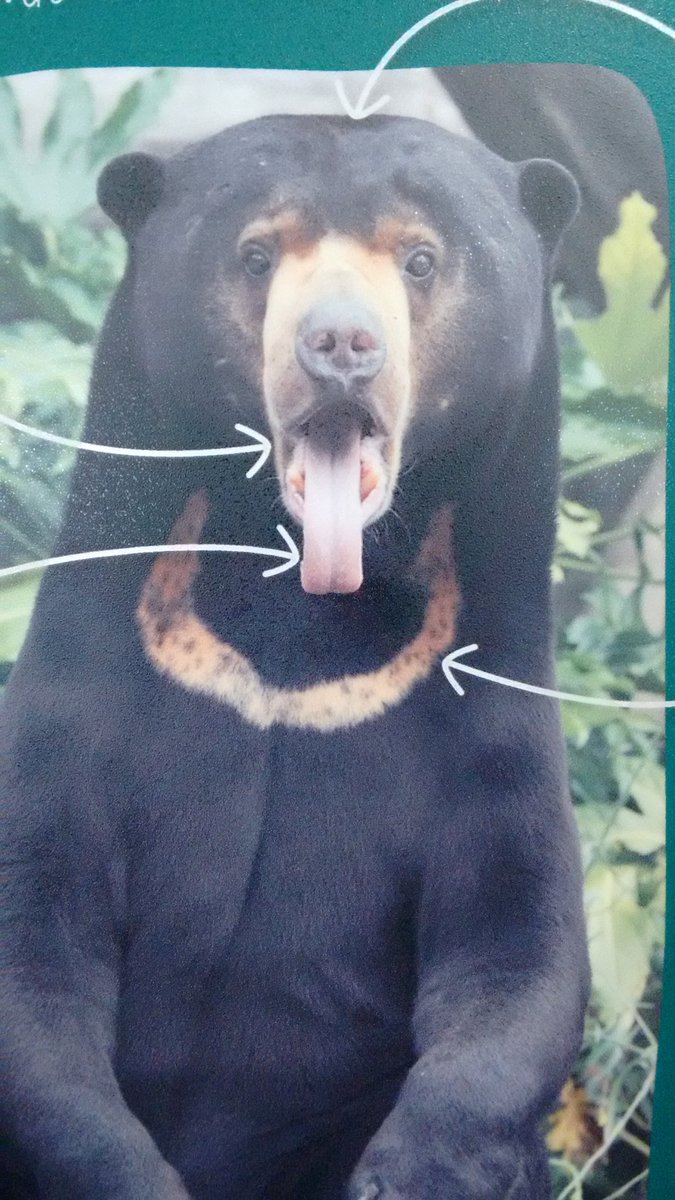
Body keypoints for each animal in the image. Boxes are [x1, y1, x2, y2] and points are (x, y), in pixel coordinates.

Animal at [0, 115, 589, 1200]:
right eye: (258, 254)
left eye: (420, 257)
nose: (341, 347)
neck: (300, 601)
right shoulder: (77, 699)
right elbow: (33, 934)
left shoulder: (489, 719)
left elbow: (515, 939)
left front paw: (408, 1171)